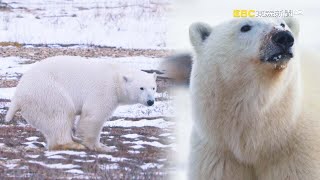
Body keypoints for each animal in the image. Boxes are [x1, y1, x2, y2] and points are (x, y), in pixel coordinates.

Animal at [3, 56, 156, 152]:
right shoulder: (104, 90)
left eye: (153, 88)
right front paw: (101, 147)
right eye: (141, 88)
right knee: (61, 113)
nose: (150, 101)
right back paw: (72, 144)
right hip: (47, 92)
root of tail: (17, 95)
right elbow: (93, 117)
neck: (116, 77)